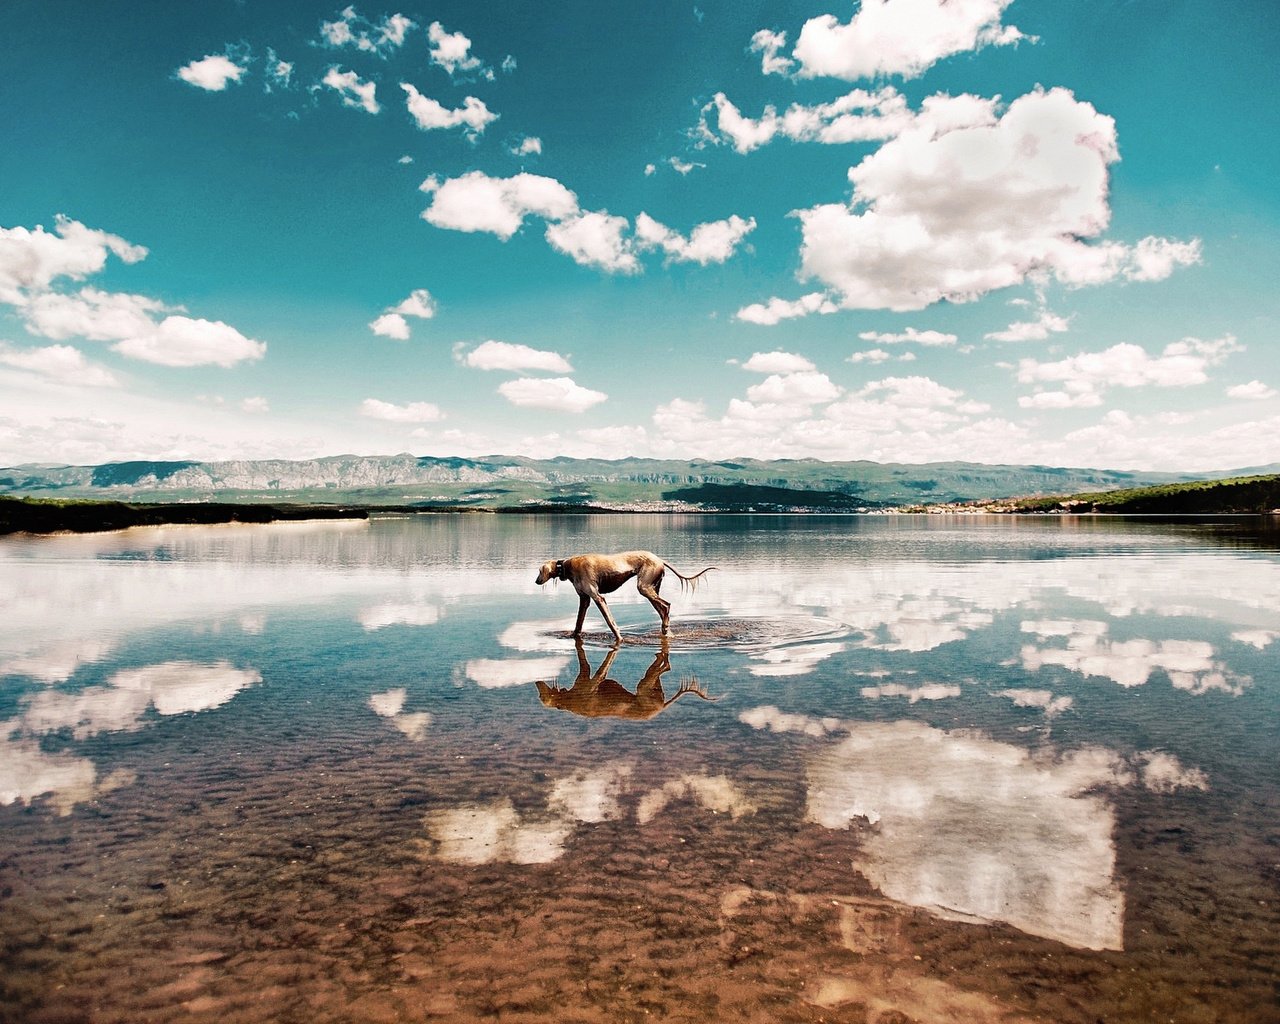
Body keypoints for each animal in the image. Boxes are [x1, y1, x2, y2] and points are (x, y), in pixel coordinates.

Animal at [532, 552, 721, 640]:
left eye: (539, 571)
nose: (536, 581)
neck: (567, 565)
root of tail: (659, 559)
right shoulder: (584, 599)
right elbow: (578, 623)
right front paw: (573, 635)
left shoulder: (598, 597)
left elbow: (610, 622)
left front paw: (620, 639)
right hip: (651, 587)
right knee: (663, 609)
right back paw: (666, 632)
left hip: (644, 586)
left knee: (666, 606)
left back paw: (666, 629)